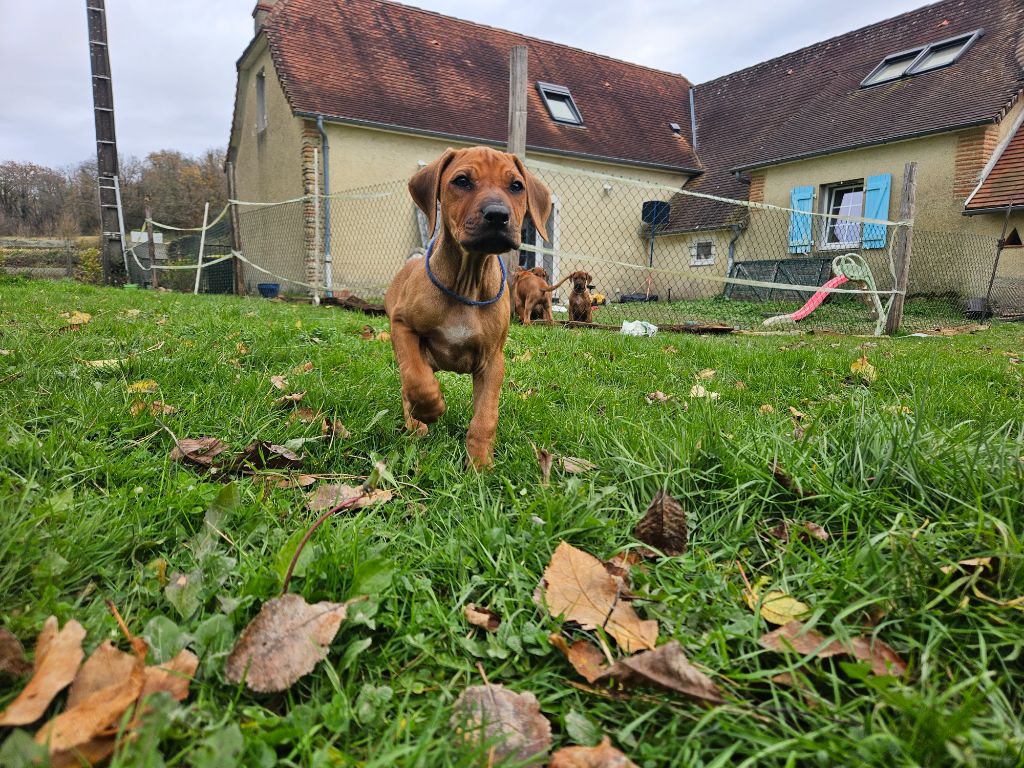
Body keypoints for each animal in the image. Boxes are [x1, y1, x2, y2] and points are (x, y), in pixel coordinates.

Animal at [385, 145, 552, 468]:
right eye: (461, 181)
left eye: (516, 186)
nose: (497, 215)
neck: (467, 282)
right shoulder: (402, 326)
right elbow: (417, 379)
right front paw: (430, 408)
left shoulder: (493, 361)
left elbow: (485, 417)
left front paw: (480, 465)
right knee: (406, 382)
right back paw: (416, 423)